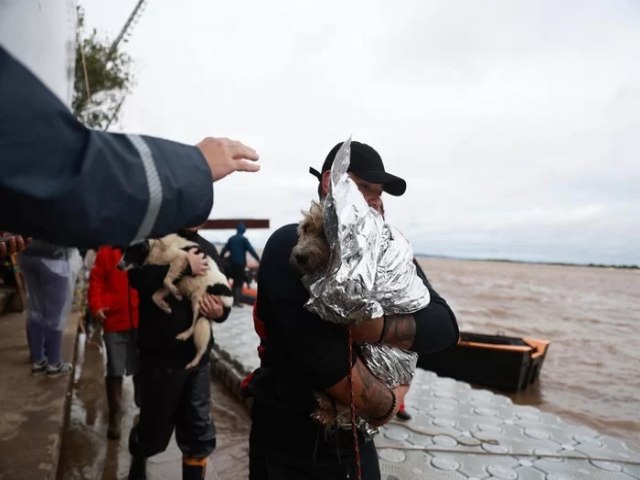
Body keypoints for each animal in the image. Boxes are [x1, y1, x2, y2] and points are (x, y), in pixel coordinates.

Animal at [117, 234, 232, 370]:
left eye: (131, 253)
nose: (118, 266)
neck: (155, 248)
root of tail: (229, 298)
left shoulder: (181, 258)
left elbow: (166, 280)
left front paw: (175, 295)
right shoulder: (176, 278)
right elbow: (156, 295)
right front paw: (166, 306)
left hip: (197, 299)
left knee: (193, 324)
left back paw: (184, 337)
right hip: (203, 314)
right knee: (201, 342)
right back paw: (193, 360)